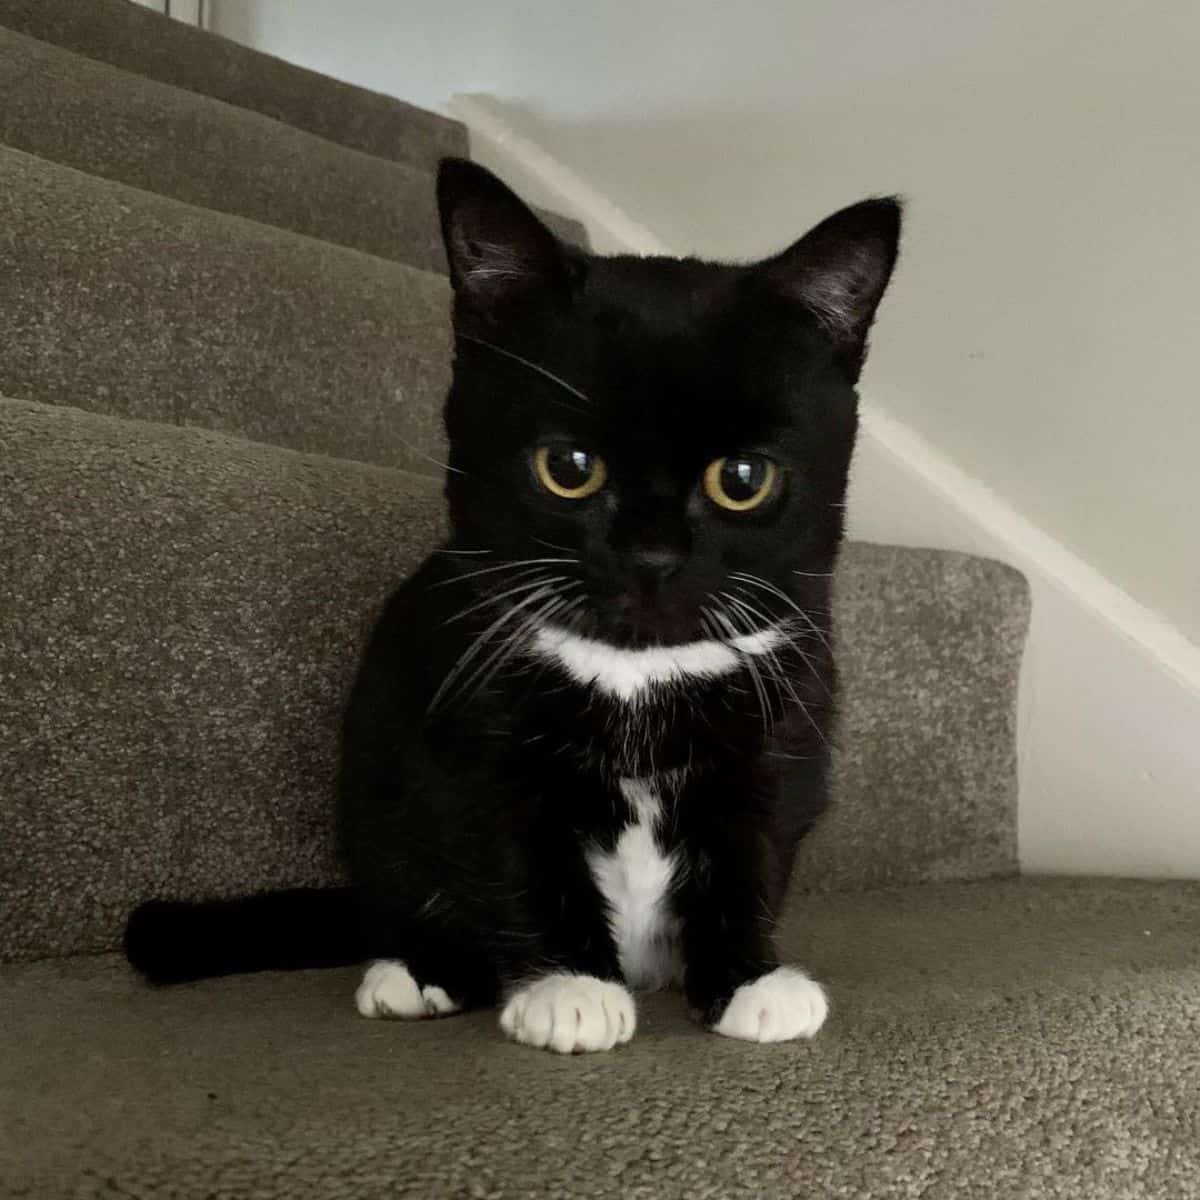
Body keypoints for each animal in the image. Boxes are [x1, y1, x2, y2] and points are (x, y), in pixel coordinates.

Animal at [129, 157, 902, 1051]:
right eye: (567, 467)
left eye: (742, 479)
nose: (652, 556)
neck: (638, 670)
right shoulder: (473, 729)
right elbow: (517, 854)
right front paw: (570, 988)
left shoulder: (785, 722)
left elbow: (753, 848)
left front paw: (748, 979)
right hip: (376, 790)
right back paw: (421, 969)